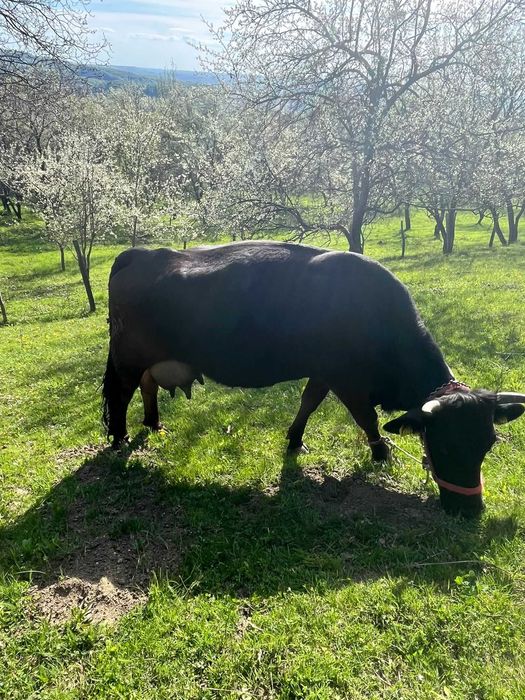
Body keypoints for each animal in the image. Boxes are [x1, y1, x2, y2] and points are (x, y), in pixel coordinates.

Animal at [102, 241, 525, 518]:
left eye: (488, 444)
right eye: (446, 446)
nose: (471, 509)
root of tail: (139, 254)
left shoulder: (322, 373)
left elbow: (308, 402)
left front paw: (294, 441)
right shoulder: (347, 379)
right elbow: (366, 418)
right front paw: (381, 453)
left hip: (148, 361)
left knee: (147, 387)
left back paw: (154, 424)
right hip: (127, 359)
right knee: (121, 395)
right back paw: (120, 439)